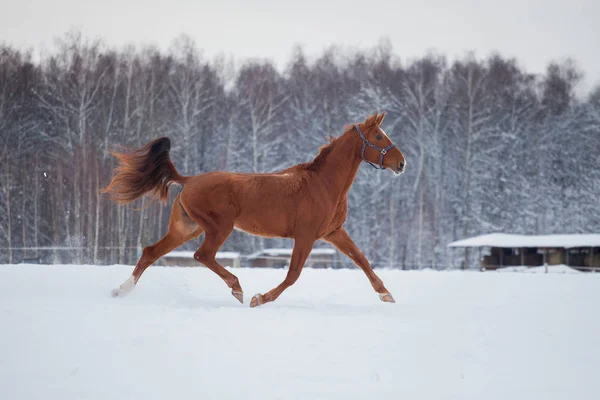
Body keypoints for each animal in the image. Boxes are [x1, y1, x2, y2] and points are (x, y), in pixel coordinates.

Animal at [105, 111, 408, 306]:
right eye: (379, 137)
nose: (401, 163)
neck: (322, 184)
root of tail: (188, 180)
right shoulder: (306, 236)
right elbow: (293, 274)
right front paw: (259, 298)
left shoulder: (333, 232)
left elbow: (361, 259)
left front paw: (386, 294)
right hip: (218, 227)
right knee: (203, 255)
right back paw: (237, 288)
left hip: (186, 228)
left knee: (151, 252)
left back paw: (121, 291)